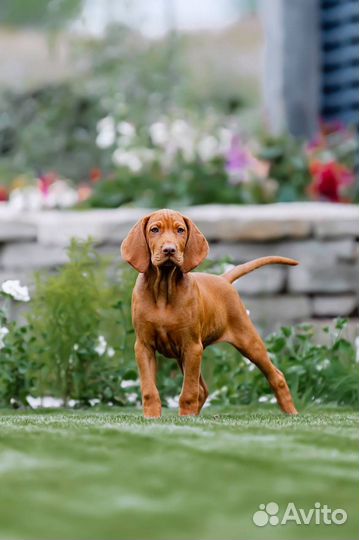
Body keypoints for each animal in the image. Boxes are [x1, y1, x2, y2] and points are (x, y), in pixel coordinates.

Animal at [122, 208, 300, 418]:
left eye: (180, 230)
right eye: (154, 230)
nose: (169, 250)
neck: (164, 289)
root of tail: (223, 279)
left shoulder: (192, 346)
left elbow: (188, 392)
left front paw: (185, 418)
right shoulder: (144, 347)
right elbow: (150, 390)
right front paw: (151, 417)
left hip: (248, 342)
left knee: (276, 377)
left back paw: (291, 412)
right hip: (184, 355)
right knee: (203, 389)